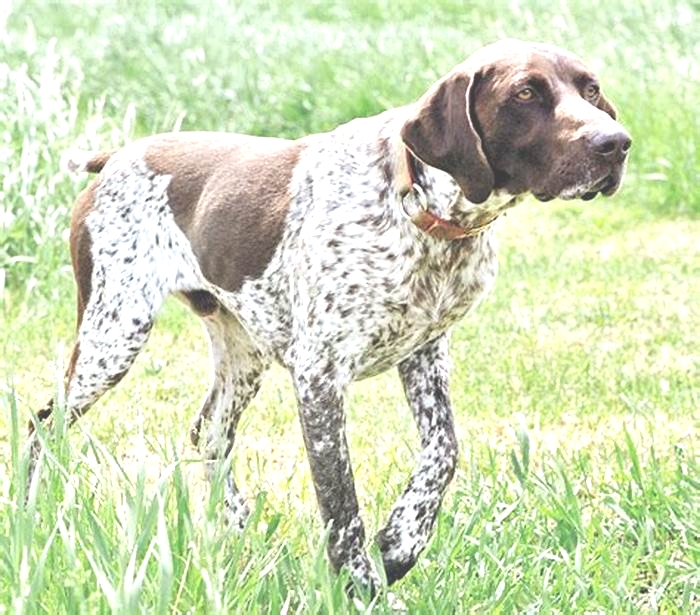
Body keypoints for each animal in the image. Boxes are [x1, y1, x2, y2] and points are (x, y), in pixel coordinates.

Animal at [26, 39, 628, 596]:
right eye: (525, 93)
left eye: (591, 88)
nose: (615, 144)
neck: (418, 208)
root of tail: (118, 156)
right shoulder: (319, 376)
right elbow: (341, 502)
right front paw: (359, 584)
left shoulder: (424, 353)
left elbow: (444, 451)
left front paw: (402, 542)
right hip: (113, 333)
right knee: (43, 423)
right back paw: (36, 513)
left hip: (241, 354)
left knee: (208, 432)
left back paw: (236, 527)